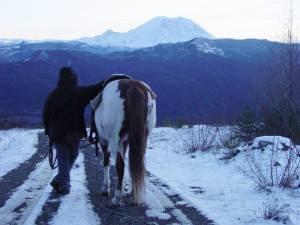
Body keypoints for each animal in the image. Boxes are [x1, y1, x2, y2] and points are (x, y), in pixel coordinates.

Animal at [94, 78, 157, 206]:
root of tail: (133, 87)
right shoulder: (126, 141)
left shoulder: (104, 141)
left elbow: (106, 162)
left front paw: (106, 189)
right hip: (142, 139)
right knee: (137, 163)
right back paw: (135, 197)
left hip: (114, 140)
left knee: (120, 165)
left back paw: (116, 198)